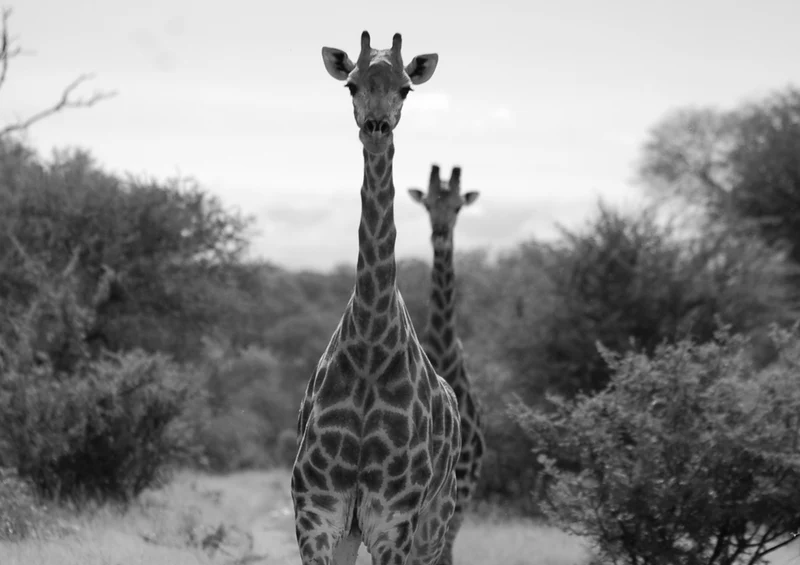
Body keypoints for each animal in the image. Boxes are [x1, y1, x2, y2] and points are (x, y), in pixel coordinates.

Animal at [291, 31, 462, 565]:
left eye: (406, 87)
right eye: (351, 84)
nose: (376, 127)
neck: (369, 346)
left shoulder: (393, 521)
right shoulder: (319, 512)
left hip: (435, 524)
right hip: (354, 531)